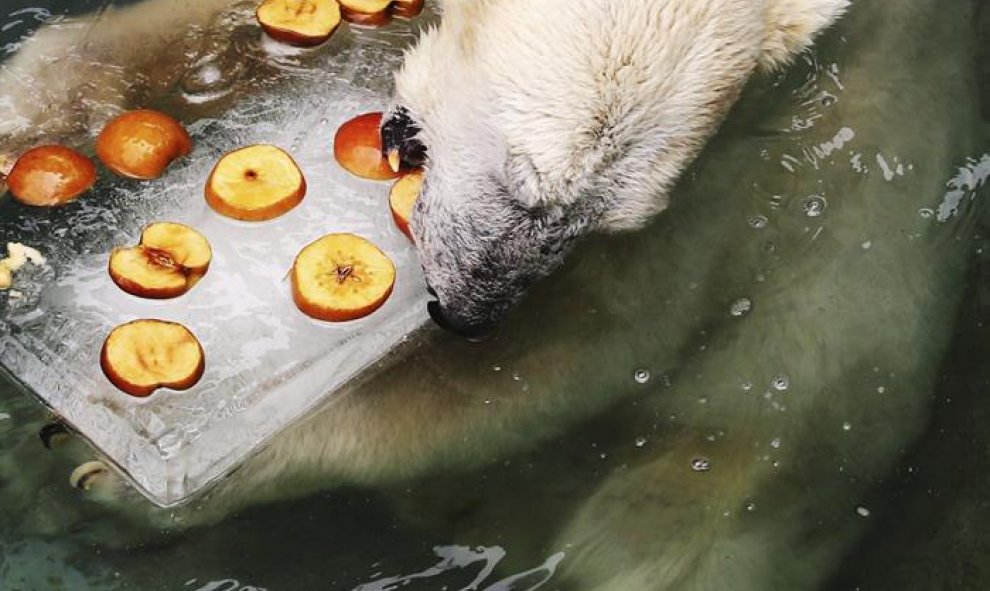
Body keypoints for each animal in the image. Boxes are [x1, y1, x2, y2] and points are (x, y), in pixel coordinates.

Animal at [3, 0, 988, 588]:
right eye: (528, 181)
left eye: (606, 213)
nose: (468, 312)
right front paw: (34, 93)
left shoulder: (757, 171)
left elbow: (578, 351)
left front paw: (103, 470)